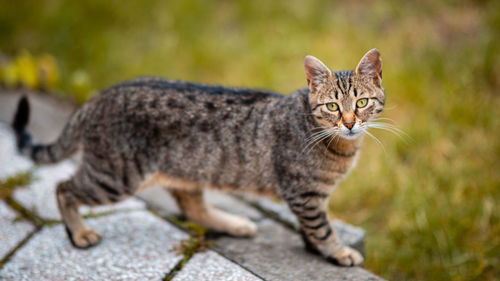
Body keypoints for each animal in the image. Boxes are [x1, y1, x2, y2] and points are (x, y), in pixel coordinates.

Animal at [12, 48, 386, 266]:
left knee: (191, 206)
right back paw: (78, 233)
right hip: (115, 176)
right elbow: (321, 228)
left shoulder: (310, 196)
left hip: (188, 168)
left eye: (362, 103)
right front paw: (338, 251)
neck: (339, 147)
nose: (349, 123)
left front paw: (316, 247)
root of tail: (96, 98)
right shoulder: (304, 193)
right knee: (64, 187)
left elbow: (312, 228)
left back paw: (233, 223)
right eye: (333, 107)